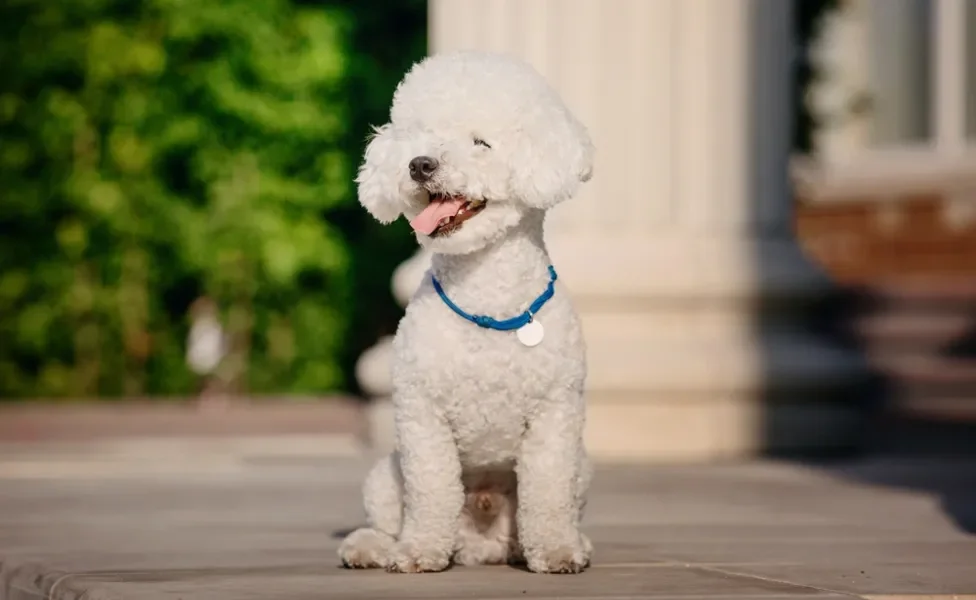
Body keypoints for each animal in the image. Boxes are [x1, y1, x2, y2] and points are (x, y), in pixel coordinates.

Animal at [336, 49, 596, 576]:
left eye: (481, 142)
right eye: (421, 137)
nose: (420, 164)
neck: (485, 296)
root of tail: (481, 542)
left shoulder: (555, 416)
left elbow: (548, 491)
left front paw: (557, 550)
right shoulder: (421, 414)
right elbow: (431, 488)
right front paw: (418, 551)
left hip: (584, 467)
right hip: (384, 475)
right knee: (387, 519)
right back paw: (372, 547)